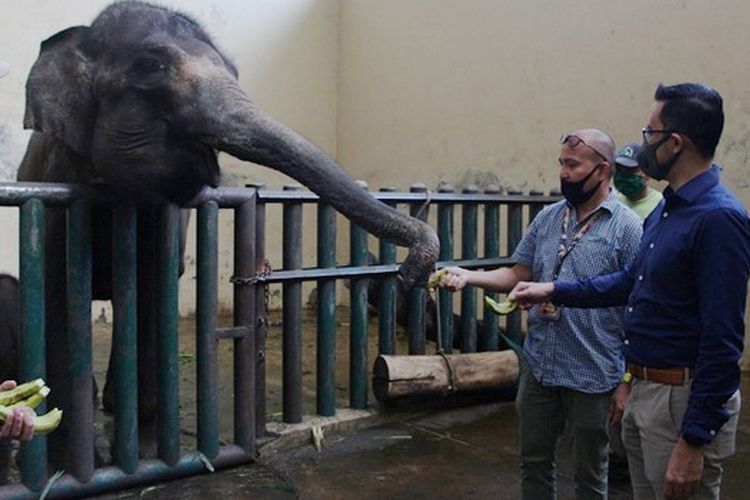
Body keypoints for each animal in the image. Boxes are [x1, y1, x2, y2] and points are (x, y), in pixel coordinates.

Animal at [16, 0, 440, 468]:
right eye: (150, 67)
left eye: (235, 71)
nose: (410, 274)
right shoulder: (57, 192)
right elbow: (62, 298)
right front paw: (72, 457)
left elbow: (153, 292)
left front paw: (144, 446)